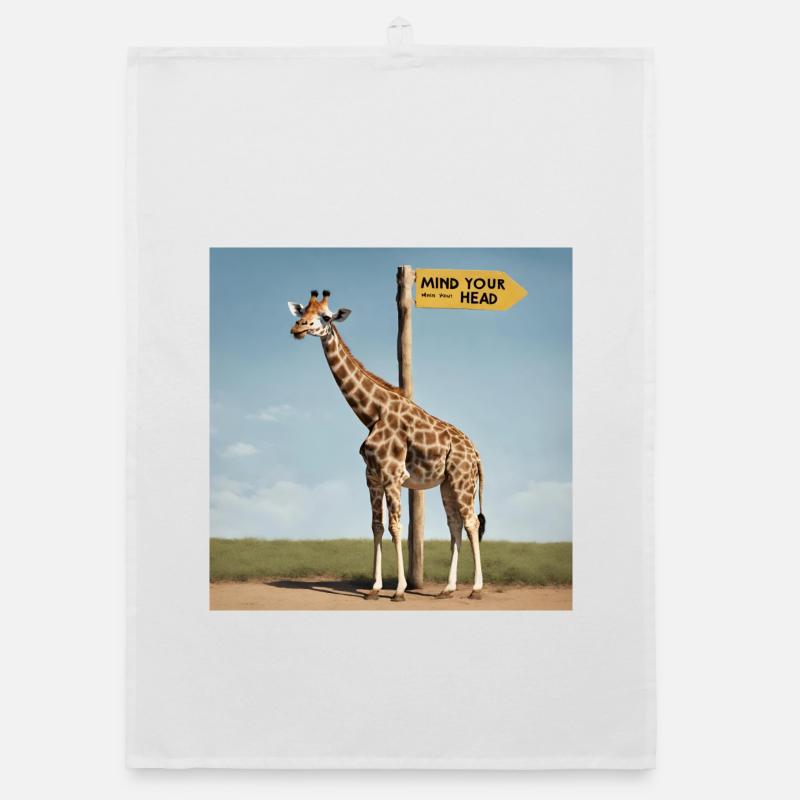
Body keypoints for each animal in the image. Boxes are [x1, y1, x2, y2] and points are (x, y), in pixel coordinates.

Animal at [288, 290, 486, 602]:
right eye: (303, 311)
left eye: (327, 317)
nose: (298, 328)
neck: (372, 414)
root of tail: (476, 452)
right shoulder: (371, 477)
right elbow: (376, 526)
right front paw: (375, 588)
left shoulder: (393, 475)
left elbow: (395, 526)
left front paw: (399, 590)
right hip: (446, 484)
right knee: (455, 525)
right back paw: (448, 588)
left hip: (463, 480)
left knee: (471, 523)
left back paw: (476, 589)